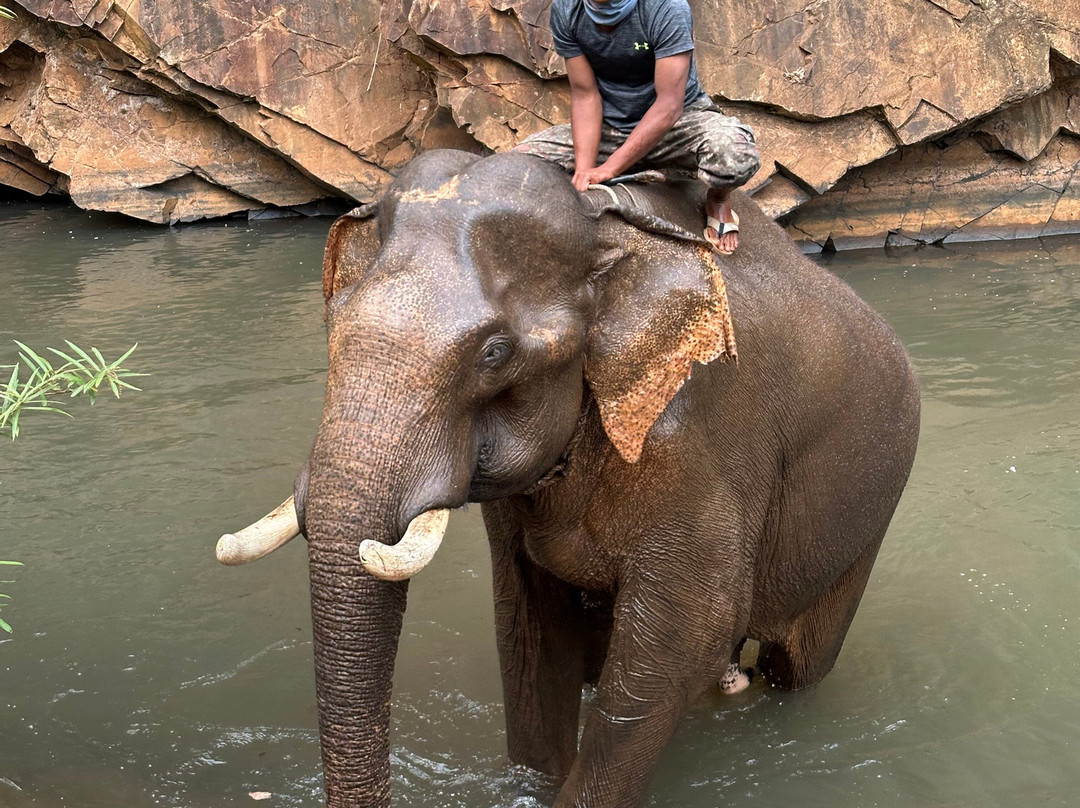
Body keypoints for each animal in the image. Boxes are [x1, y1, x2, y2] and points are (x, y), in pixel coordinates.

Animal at [217, 148, 920, 808]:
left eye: (494, 354)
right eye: (332, 323)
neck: (605, 237)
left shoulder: (701, 439)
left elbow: (683, 639)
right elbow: (529, 634)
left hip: (867, 518)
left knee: (796, 665)